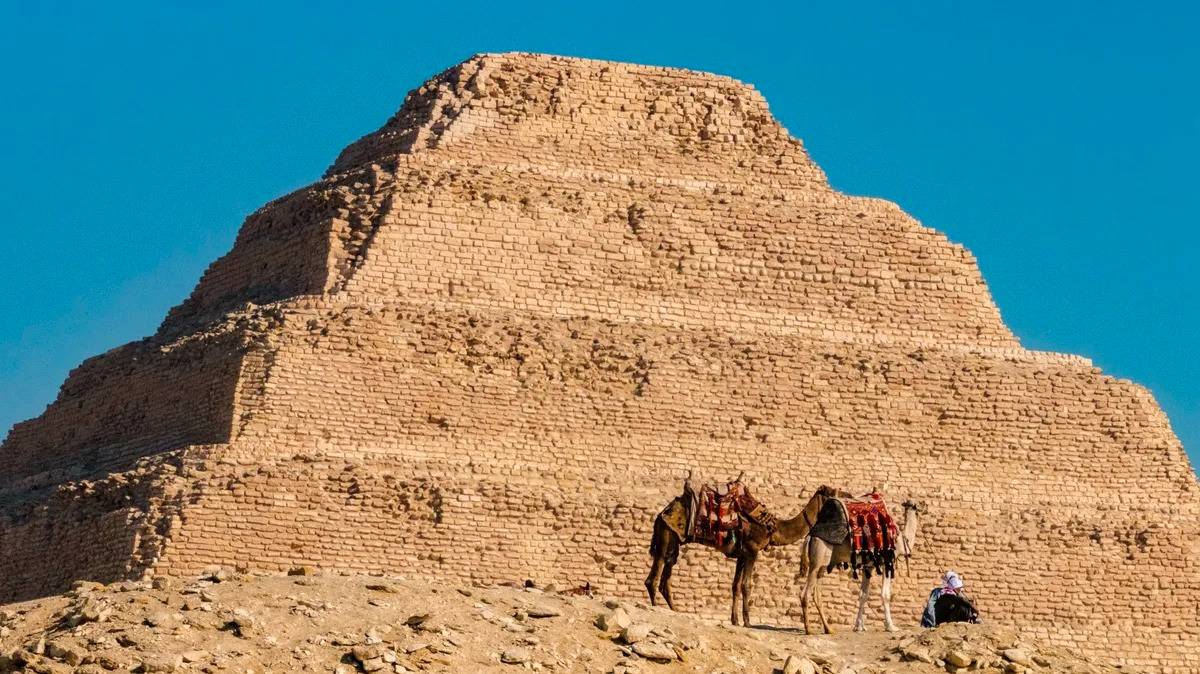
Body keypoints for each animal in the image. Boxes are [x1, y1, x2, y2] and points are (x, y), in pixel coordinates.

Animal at [648, 477, 835, 623]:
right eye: (833, 494)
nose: (842, 500)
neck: (773, 528)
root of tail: (662, 514)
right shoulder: (752, 550)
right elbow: (746, 585)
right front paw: (747, 621)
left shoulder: (742, 554)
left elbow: (735, 586)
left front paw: (735, 620)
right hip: (666, 536)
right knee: (654, 578)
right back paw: (656, 608)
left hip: (674, 542)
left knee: (665, 577)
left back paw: (674, 610)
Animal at [801, 496, 921, 633]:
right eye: (916, 505)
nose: (922, 508)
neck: (900, 540)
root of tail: (809, 537)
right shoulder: (887, 561)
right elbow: (885, 594)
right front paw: (891, 626)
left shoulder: (868, 566)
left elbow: (863, 594)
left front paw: (859, 626)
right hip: (818, 558)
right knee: (805, 594)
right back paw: (809, 630)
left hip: (822, 564)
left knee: (817, 594)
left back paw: (829, 629)